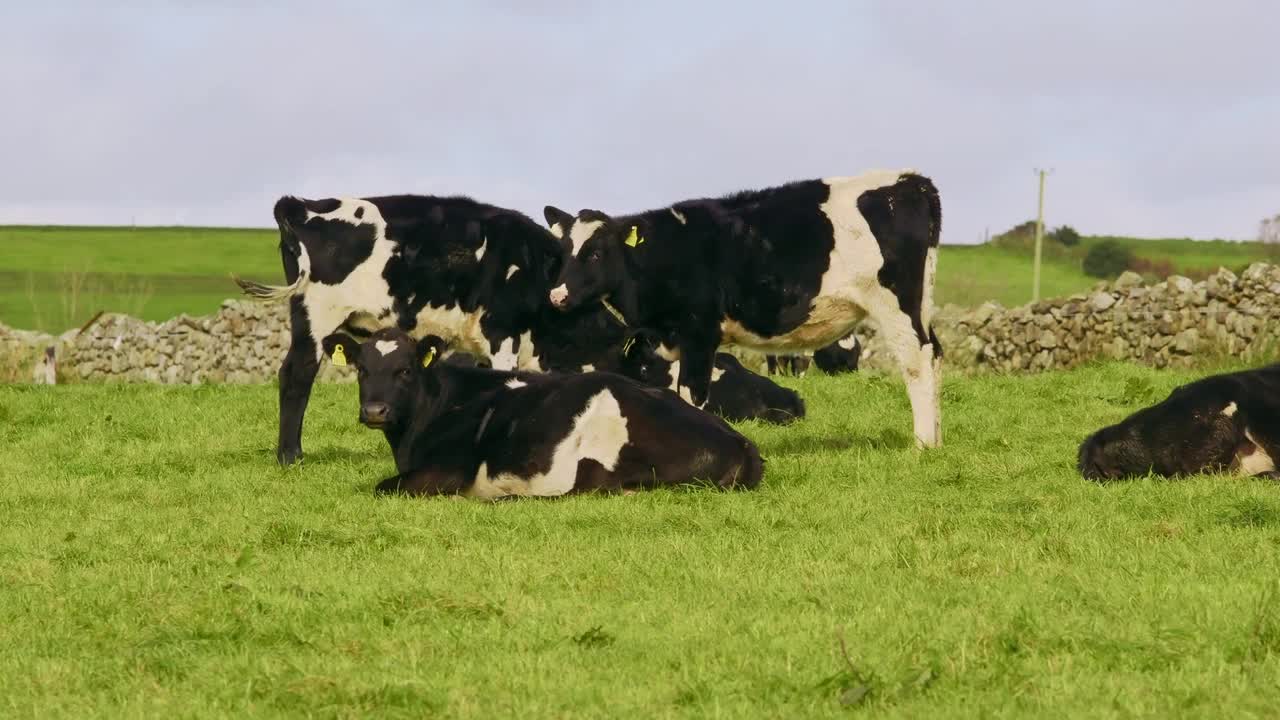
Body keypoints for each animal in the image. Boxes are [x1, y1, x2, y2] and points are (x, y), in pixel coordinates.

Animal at [322, 327, 757, 497]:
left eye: (406, 370)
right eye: (362, 370)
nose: (375, 410)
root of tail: (741, 442)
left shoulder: (446, 471)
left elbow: (383, 486)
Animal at [545, 170, 947, 445]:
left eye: (596, 253)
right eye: (563, 251)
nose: (557, 296)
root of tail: (913, 182)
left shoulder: (699, 333)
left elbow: (692, 393)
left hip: (896, 305)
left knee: (916, 363)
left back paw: (922, 444)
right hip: (922, 303)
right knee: (936, 355)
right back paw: (938, 439)